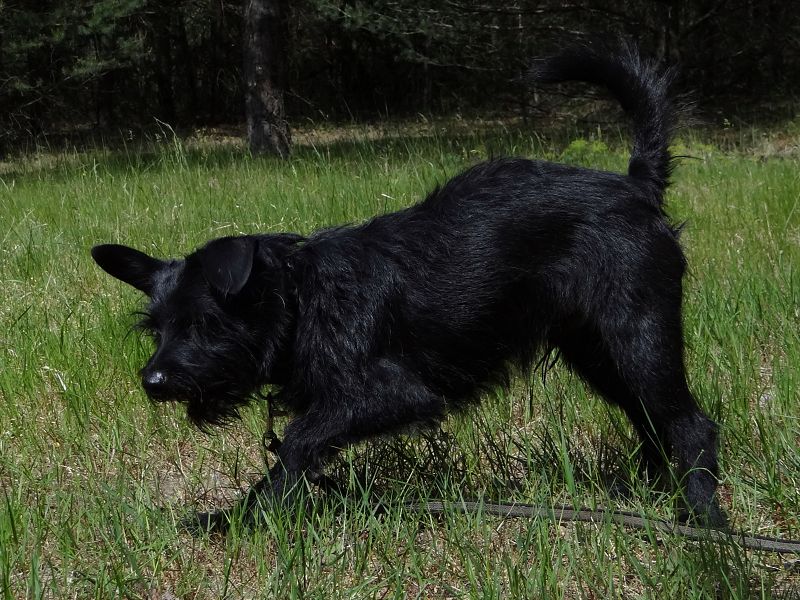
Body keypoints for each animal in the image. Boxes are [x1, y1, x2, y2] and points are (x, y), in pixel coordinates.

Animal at [92, 42, 726, 530]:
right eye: (156, 328)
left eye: (205, 323)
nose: (152, 381)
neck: (303, 301)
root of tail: (637, 185)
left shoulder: (394, 395)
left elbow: (298, 440)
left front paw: (243, 516)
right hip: (596, 351)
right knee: (651, 419)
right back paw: (652, 494)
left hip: (639, 338)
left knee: (689, 424)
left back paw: (703, 520)